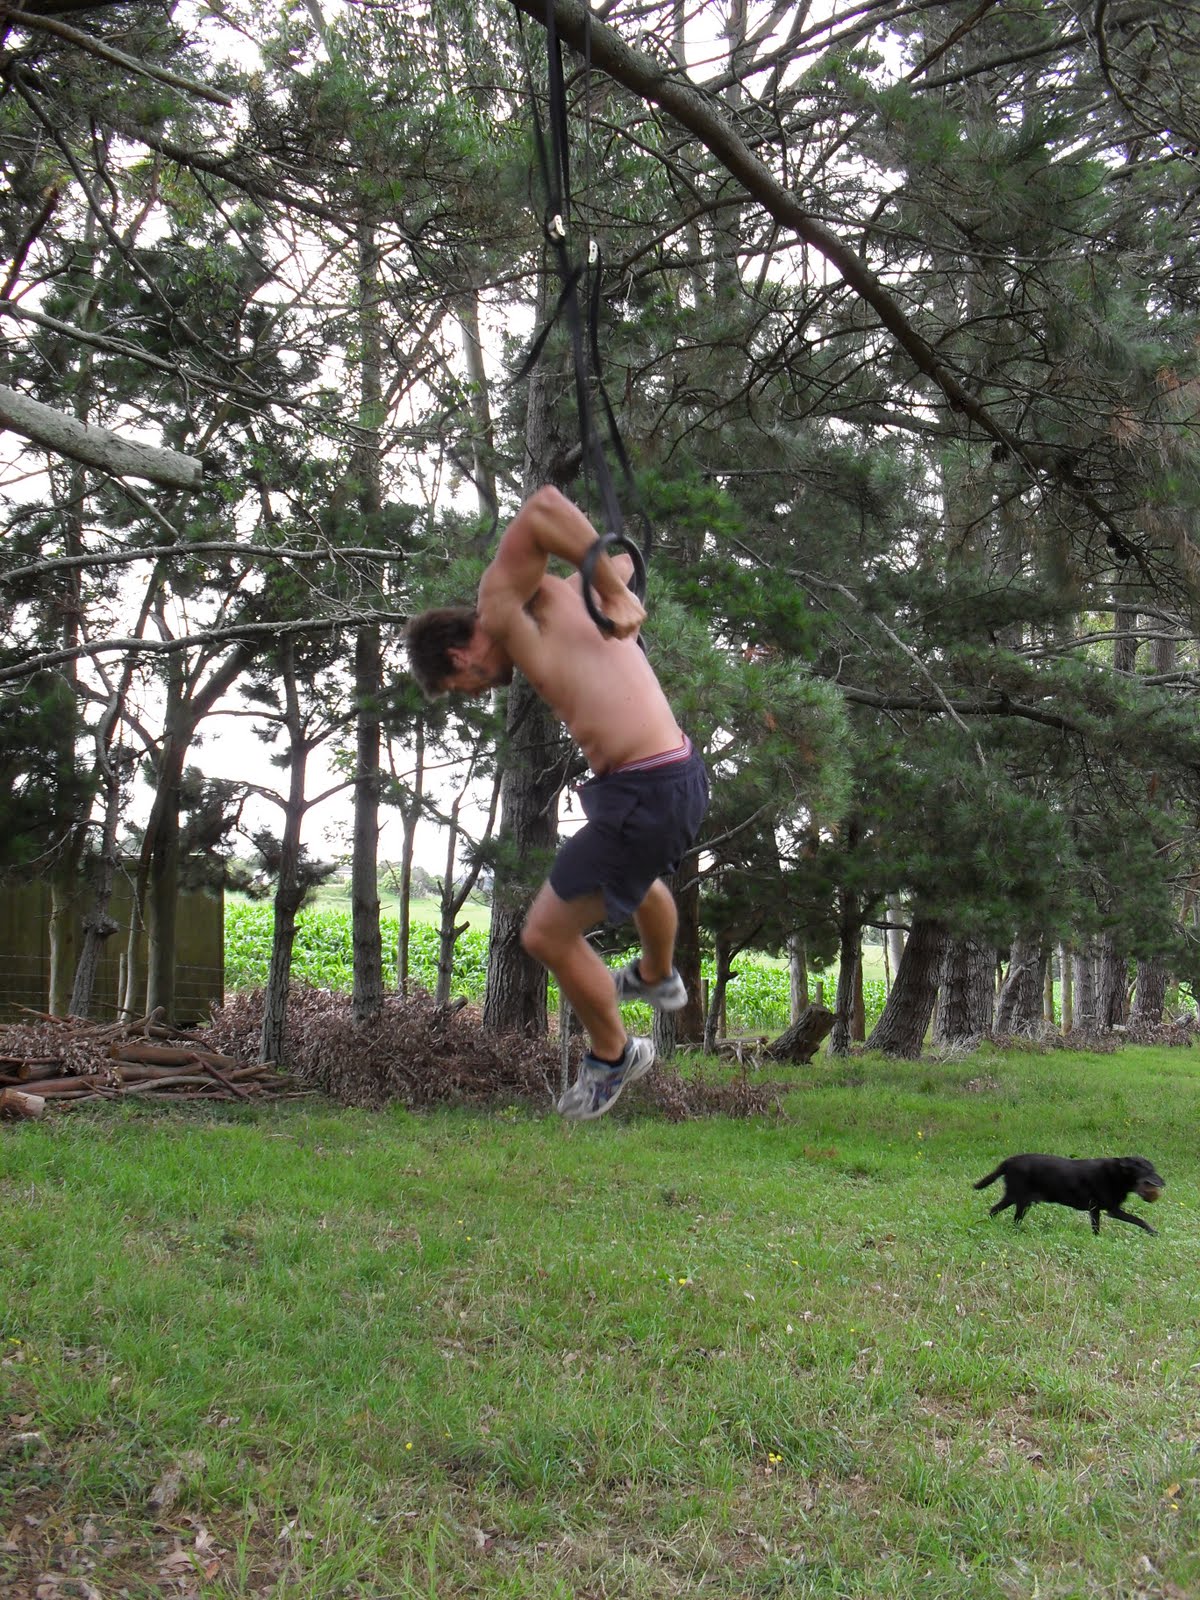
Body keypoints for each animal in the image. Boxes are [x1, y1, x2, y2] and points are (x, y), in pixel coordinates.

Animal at [974, 1153, 1164, 1235]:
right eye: (1149, 1170)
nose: (1164, 1182)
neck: (1119, 1175)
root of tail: (1009, 1161)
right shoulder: (1111, 1210)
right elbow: (1139, 1220)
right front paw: (1153, 1232)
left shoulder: (1096, 1210)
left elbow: (1096, 1228)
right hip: (1019, 1198)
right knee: (1001, 1213)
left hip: (1019, 1200)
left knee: (995, 1211)